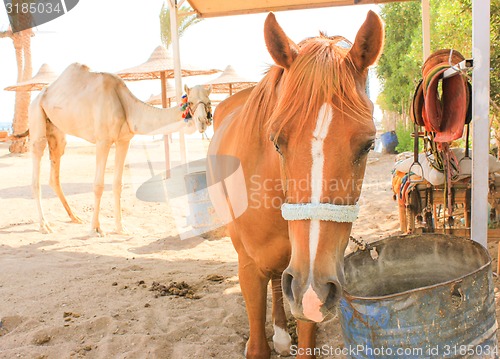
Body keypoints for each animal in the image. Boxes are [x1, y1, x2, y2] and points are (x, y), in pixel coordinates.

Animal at [28, 62, 213, 236]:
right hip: (36, 114)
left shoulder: (124, 140)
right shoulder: (103, 140)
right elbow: (98, 185)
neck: (126, 106)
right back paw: (44, 225)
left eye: (209, 102)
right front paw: (95, 229)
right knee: (37, 162)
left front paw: (120, 228)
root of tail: (40, 95)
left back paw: (75, 217)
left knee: (55, 170)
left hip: (57, 131)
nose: (203, 121)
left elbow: (118, 184)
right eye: (190, 102)